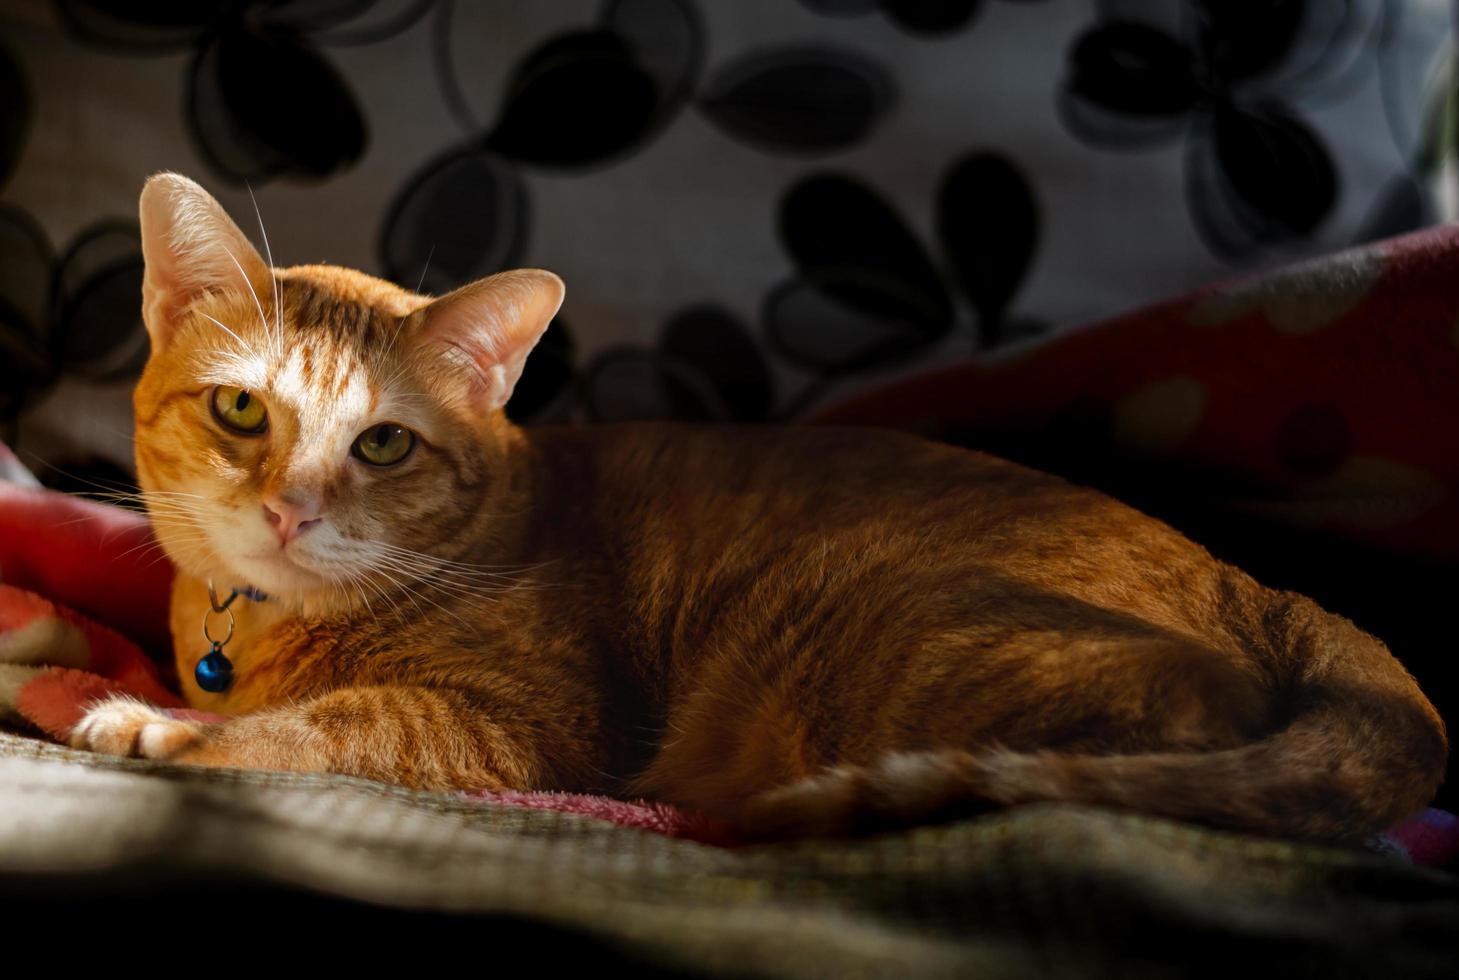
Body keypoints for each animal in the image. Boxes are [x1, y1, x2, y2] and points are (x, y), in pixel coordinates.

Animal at [65, 174, 1447, 840]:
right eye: (242, 412)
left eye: (385, 443)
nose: (291, 511)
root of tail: (1261, 583)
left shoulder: (526, 722)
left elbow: (334, 723)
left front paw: (163, 726)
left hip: (900, 629)